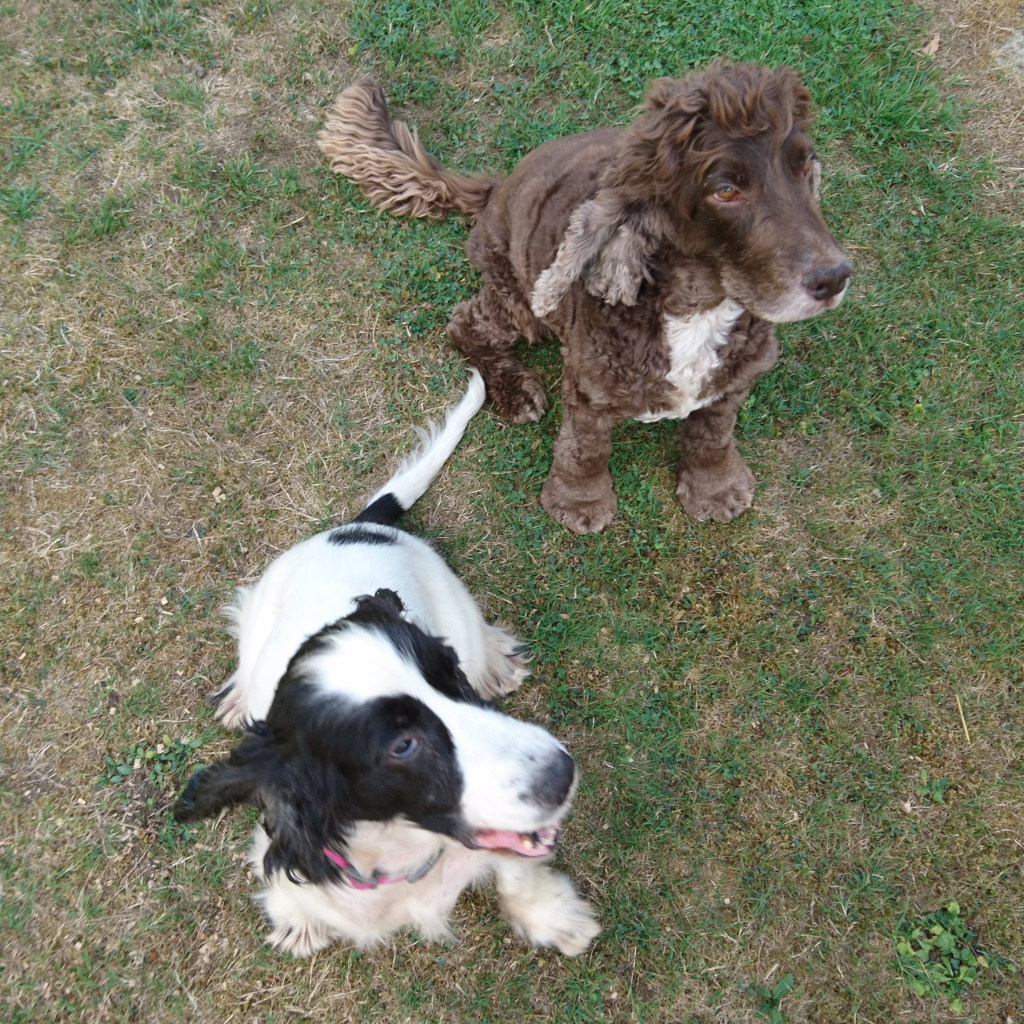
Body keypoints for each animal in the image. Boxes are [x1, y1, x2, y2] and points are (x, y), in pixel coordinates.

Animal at [172, 374, 598, 958]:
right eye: (402, 746)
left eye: (450, 673)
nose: (562, 772)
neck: (404, 848)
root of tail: (356, 528)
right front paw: (297, 922)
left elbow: (518, 867)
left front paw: (554, 918)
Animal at [317, 61, 847, 536]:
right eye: (726, 189)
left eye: (806, 165)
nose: (835, 277)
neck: (698, 306)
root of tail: (496, 189)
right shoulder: (589, 387)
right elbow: (584, 448)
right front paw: (579, 502)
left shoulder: (736, 377)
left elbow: (713, 432)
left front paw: (715, 488)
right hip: (518, 296)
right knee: (465, 323)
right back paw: (515, 390)